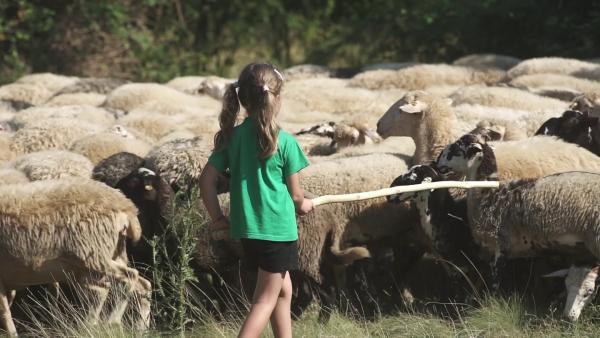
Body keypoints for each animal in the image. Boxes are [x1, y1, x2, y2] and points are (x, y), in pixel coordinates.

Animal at [0, 178, 152, 334]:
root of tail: (125, 206)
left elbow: (4, 312)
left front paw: (11, 333)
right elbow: (6, 307)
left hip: (93, 256)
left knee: (123, 280)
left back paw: (107, 322)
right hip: (112, 254)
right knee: (143, 285)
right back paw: (141, 327)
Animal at [434, 132, 600, 320]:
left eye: (457, 149)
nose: (437, 162)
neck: (490, 194)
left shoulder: (500, 247)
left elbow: (494, 283)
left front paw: (489, 305)